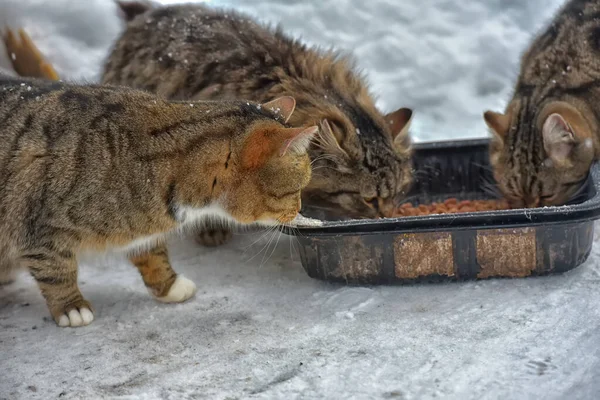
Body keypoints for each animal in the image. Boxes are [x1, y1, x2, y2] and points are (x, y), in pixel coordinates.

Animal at [0, 74, 316, 324]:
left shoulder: (142, 228)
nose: (300, 208)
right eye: (297, 189)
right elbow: (56, 269)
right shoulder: (40, 228)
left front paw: (169, 284)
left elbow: (152, 251)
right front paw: (71, 307)